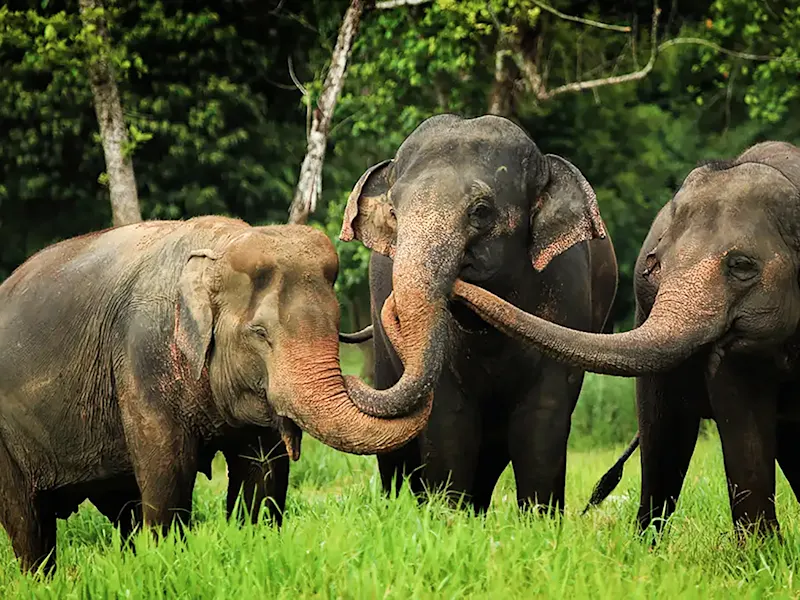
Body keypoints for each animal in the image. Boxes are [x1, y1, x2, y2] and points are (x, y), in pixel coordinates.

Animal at [0, 216, 431, 573]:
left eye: (336, 323)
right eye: (260, 333)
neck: (220, 246)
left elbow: (262, 474)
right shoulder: (142, 359)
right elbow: (167, 473)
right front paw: (167, 564)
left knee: (120, 509)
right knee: (28, 523)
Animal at [338, 113, 618, 512]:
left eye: (481, 211)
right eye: (393, 212)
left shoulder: (568, 296)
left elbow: (542, 420)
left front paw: (540, 520)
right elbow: (448, 420)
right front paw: (446, 516)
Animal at [452, 141, 800, 535]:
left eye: (742, 265)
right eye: (655, 265)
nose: (458, 278)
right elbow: (743, 423)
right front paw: (761, 550)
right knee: (663, 436)